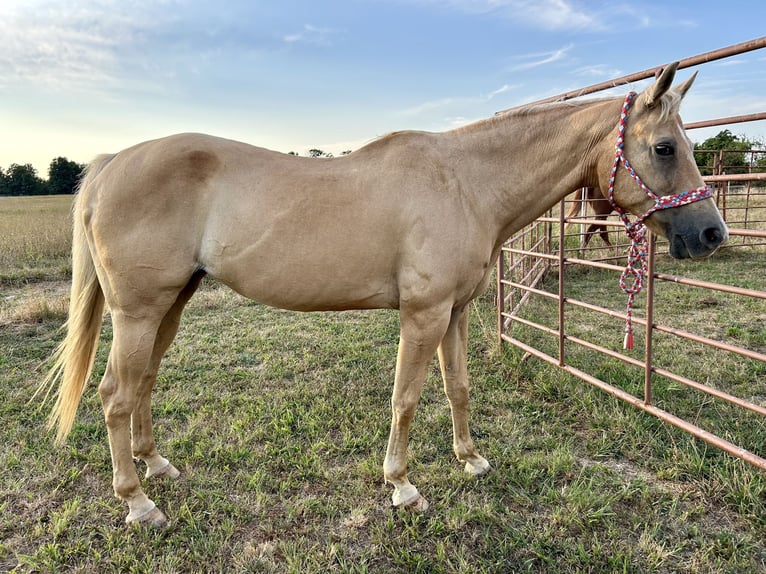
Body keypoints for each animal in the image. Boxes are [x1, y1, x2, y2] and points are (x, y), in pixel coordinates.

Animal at [39, 62, 727, 526]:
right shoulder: (422, 316)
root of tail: (112, 162)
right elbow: (406, 399)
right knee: (115, 395)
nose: (711, 233)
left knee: (144, 385)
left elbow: (457, 387)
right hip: (137, 312)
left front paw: (471, 460)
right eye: (664, 147)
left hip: (171, 304)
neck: (465, 183)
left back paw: (157, 467)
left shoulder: (456, 312)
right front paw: (402, 487)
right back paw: (139, 502)